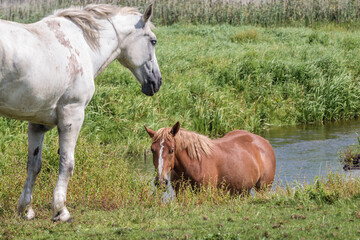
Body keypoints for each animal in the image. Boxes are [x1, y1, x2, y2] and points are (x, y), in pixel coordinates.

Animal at [0, 3, 161, 221]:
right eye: (153, 41)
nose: (157, 82)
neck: (81, 44)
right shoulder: (72, 116)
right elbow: (67, 163)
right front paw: (60, 210)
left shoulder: (37, 124)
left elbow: (33, 165)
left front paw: (26, 209)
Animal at [143, 121, 276, 194]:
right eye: (152, 150)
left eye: (171, 150)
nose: (160, 182)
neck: (195, 164)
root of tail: (264, 142)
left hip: (263, 188)